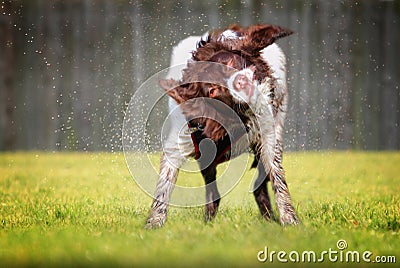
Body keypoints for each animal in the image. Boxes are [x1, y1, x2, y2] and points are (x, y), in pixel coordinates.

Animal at [145, 23, 298, 228]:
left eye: (230, 63)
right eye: (212, 91)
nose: (240, 82)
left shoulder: (267, 137)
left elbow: (278, 179)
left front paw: (289, 219)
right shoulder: (182, 143)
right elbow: (164, 186)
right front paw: (154, 223)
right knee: (215, 194)